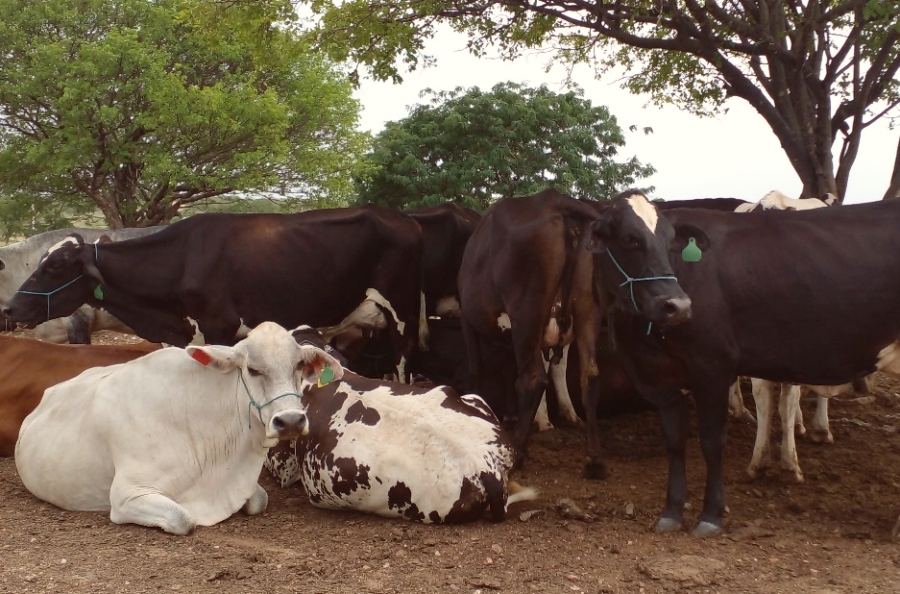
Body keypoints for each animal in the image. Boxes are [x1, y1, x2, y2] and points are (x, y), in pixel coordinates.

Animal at [15, 322, 342, 536]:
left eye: (299, 366)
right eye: (252, 369)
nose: (291, 421)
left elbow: (259, 500)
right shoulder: (126, 495)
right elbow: (184, 519)